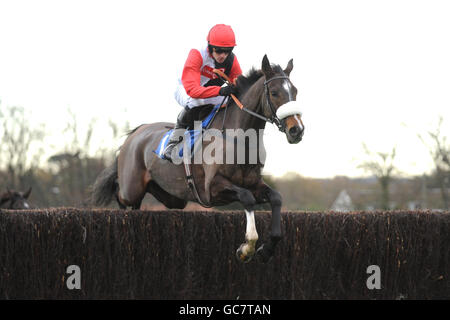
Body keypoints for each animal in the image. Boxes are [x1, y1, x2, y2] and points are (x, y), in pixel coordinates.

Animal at [94, 55, 306, 262]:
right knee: (120, 193)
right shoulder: (212, 188)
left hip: (172, 197)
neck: (239, 138)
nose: (297, 130)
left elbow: (276, 198)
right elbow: (247, 198)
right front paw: (247, 247)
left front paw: (266, 249)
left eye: (295, 91)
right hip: (132, 187)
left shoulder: (254, 183)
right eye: (274, 92)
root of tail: (136, 132)